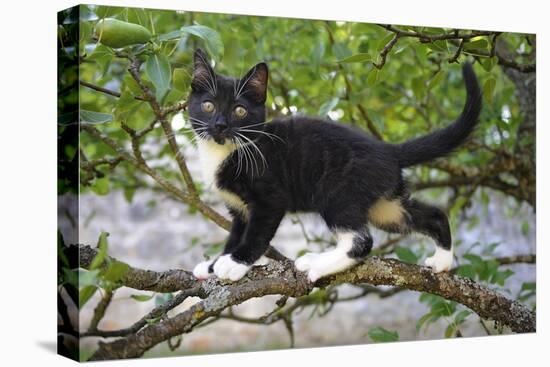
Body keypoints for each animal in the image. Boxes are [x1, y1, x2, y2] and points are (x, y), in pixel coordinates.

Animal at [190, 49, 484, 284]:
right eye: (208, 106)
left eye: (239, 110)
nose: (219, 125)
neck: (229, 150)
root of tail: (386, 149)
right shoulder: (238, 209)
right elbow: (236, 234)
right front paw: (214, 264)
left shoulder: (270, 198)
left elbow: (256, 234)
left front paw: (234, 264)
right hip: (384, 205)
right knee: (429, 214)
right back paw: (443, 260)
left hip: (338, 191)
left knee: (361, 242)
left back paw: (316, 263)